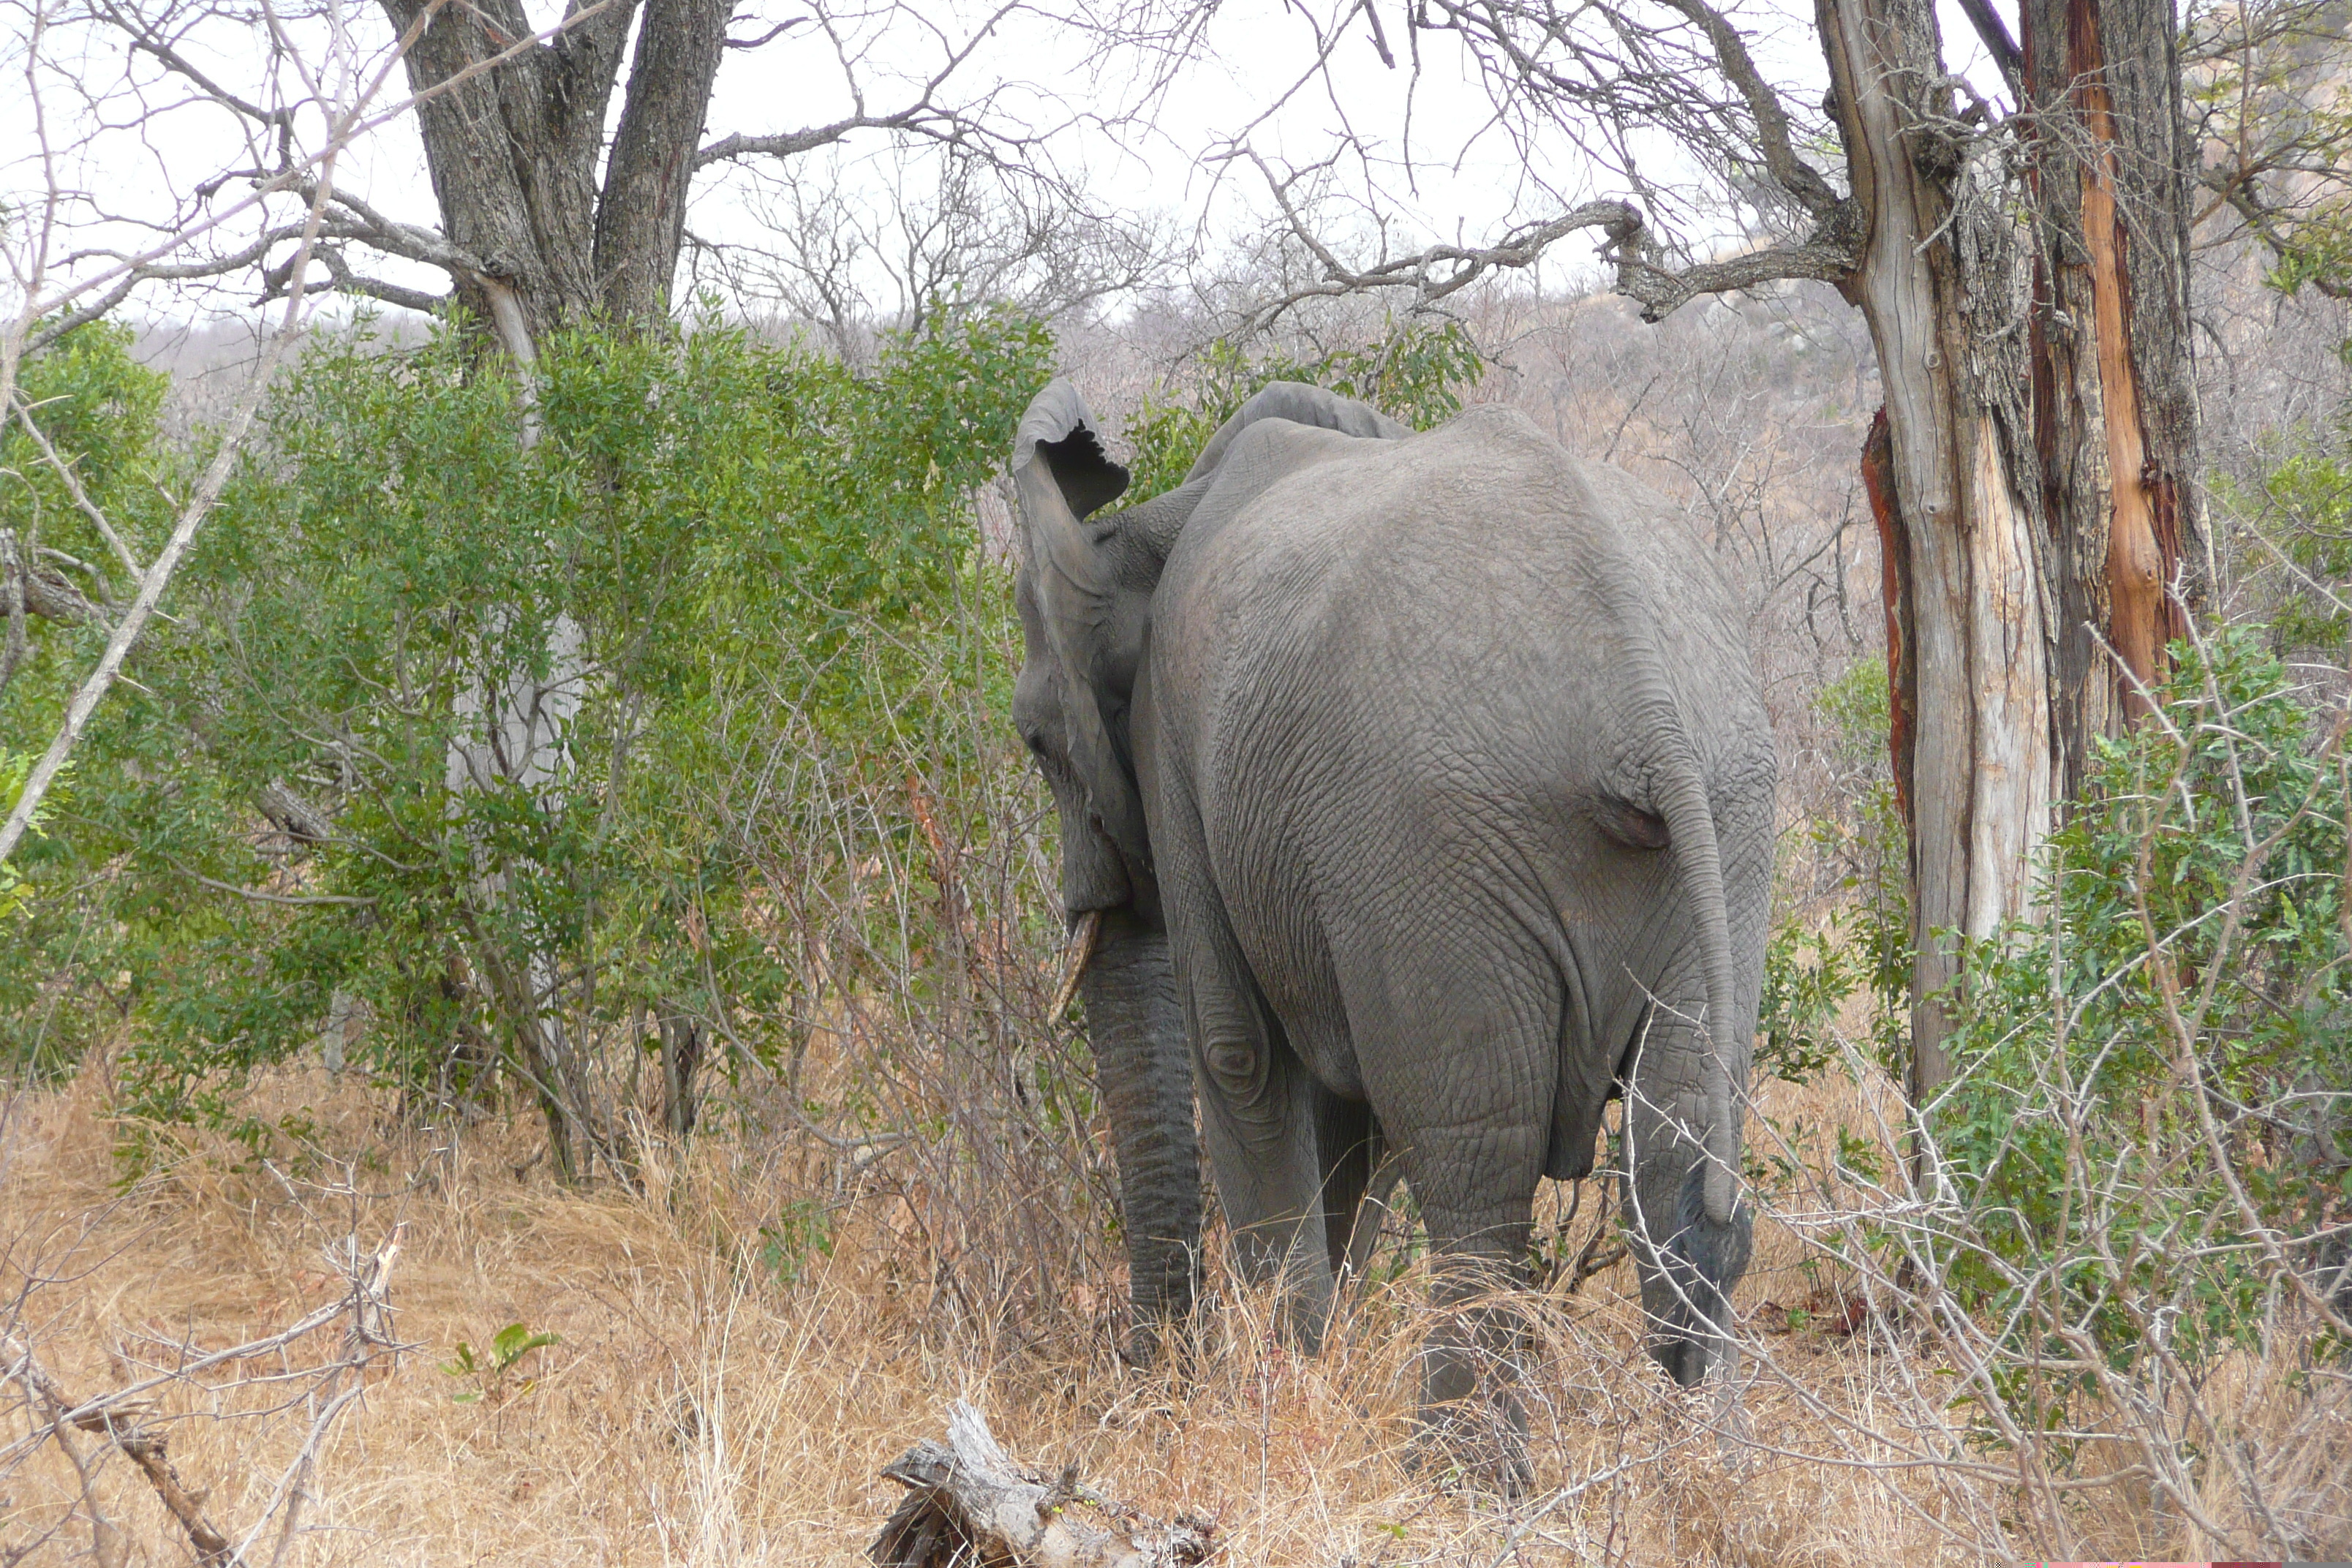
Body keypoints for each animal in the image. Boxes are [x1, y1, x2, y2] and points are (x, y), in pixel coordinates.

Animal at [1002, 374, 1768, 1476]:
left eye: (1034, 738)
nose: (1146, 1391)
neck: (1152, 519)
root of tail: (1647, 708)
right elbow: (1345, 1120)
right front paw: (1317, 1378)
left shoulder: (1178, 749)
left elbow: (1239, 1055)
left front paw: (1283, 1405)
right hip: (1731, 813)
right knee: (1677, 1138)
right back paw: (1710, 1475)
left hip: (1433, 835)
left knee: (1477, 1159)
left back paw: (1454, 1480)